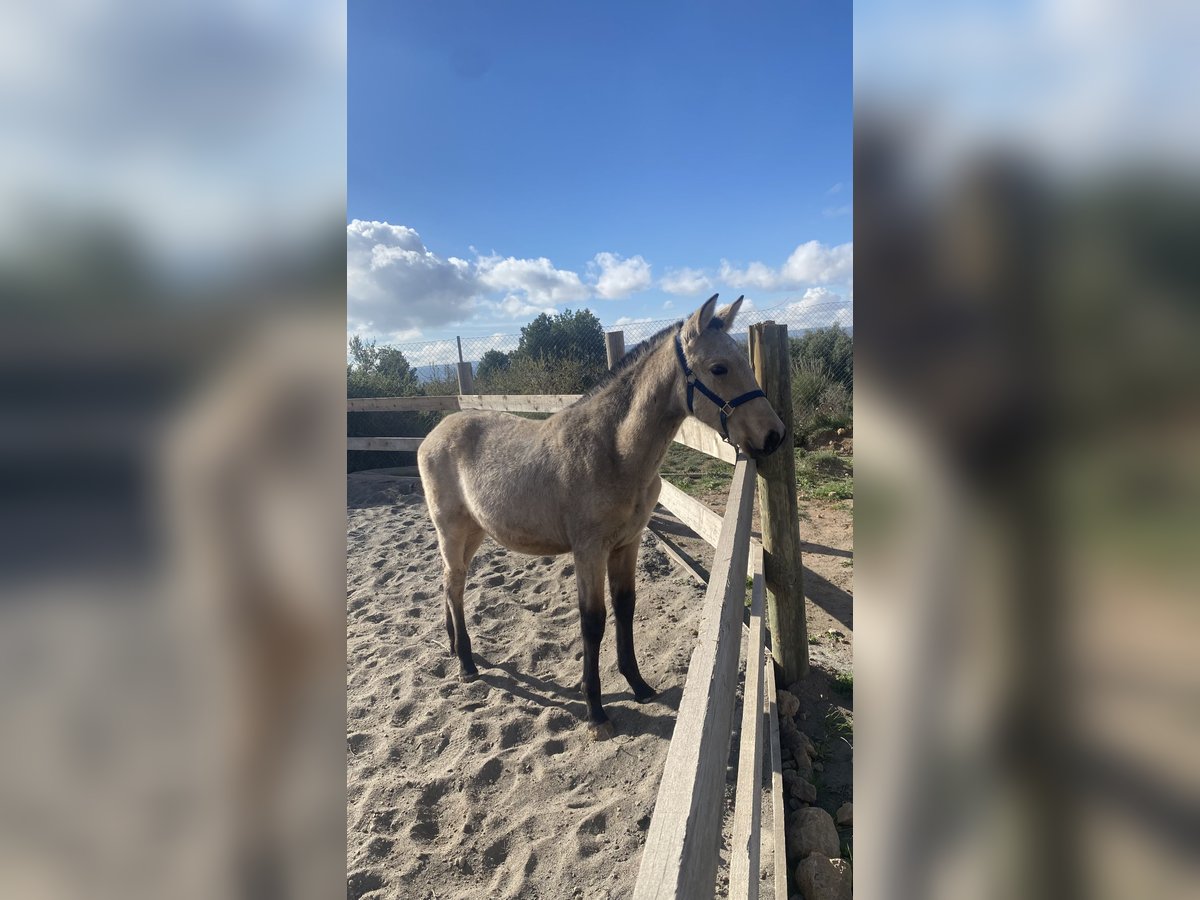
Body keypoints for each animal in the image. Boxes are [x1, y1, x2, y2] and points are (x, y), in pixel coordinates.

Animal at [417, 296, 782, 739]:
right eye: (718, 368)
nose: (774, 435)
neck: (613, 449)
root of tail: (436, 431)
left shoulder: (627, 543)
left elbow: (625, 607)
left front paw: (638, 685)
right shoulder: (588, 551)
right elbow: (593, 622)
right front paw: (595, 711)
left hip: (473, 533)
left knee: (449, 584)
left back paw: (456, 648)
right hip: (451, 531)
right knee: (454, 586)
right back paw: (467, 664)